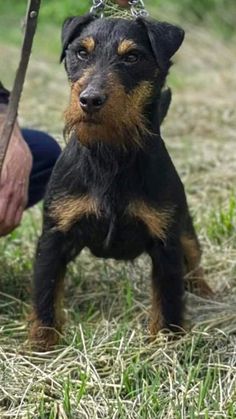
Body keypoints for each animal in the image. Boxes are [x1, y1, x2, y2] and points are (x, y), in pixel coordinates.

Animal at [29, 13, 212, 348]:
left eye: (132, 57)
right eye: (81, 52)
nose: (89, 100)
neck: (110, 154)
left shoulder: (166, 244)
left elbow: (168, 300)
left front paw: (168, 342)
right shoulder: (53, 238)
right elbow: (46, 294)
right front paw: (42, 343)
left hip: (184, 228)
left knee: (193, 257)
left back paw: (204, 290)